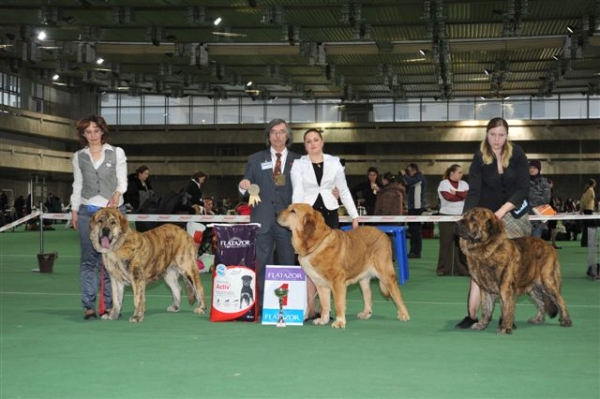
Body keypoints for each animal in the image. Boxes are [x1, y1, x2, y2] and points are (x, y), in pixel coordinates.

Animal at [278, 205, 410, 330]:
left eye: (293, 211)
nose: (276, 214)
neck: (316, 243)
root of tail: (383, 234)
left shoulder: (337, 281)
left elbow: (338, 303)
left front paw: (339, 322)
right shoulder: (320, 284)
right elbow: (325, 304)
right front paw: (323, 320)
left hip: (385, 273)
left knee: (396, 294)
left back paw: (404, 314)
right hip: (363, 278)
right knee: (367, 295)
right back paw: (366, 313)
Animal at [460, 206, 572, 334]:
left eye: (473, 218)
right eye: (464, 216)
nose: (457, 223)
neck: (486, 250)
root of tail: (549, 246)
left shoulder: (506, 287)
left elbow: (507, 309)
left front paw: (505, 327)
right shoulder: (485, 289)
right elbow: (486, 309)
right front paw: (482, 324)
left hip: (547, 282)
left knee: (560, 300)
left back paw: (566, 320)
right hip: (533, 287)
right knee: (542, 302)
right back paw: (538, 319)